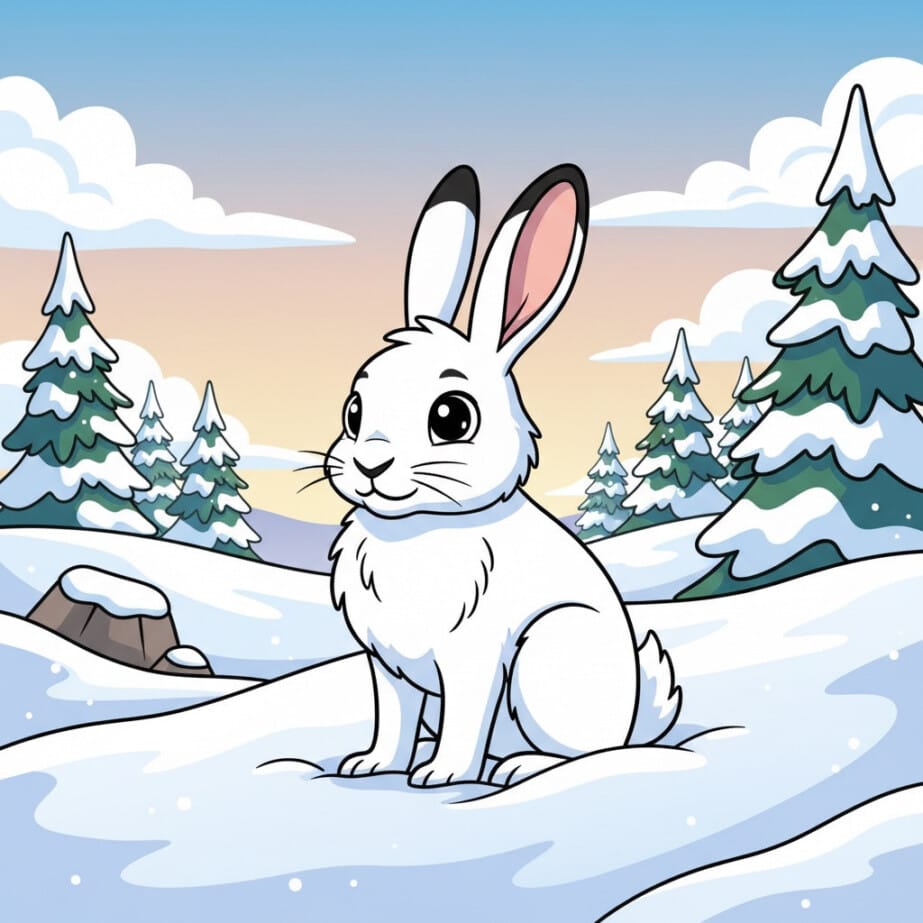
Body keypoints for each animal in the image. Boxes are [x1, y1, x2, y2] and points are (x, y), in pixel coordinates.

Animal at [327, 164, 681, 787]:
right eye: (353, 412)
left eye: (451, 417)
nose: (370, 464)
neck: (419, 526)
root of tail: (633, 719)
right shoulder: (388, 668)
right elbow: (392, 721)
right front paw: (369, 765)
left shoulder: (473, 658)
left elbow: (466, 721)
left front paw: (441, 776)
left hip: (549, 654)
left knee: (584, 754)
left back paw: (518, 768)